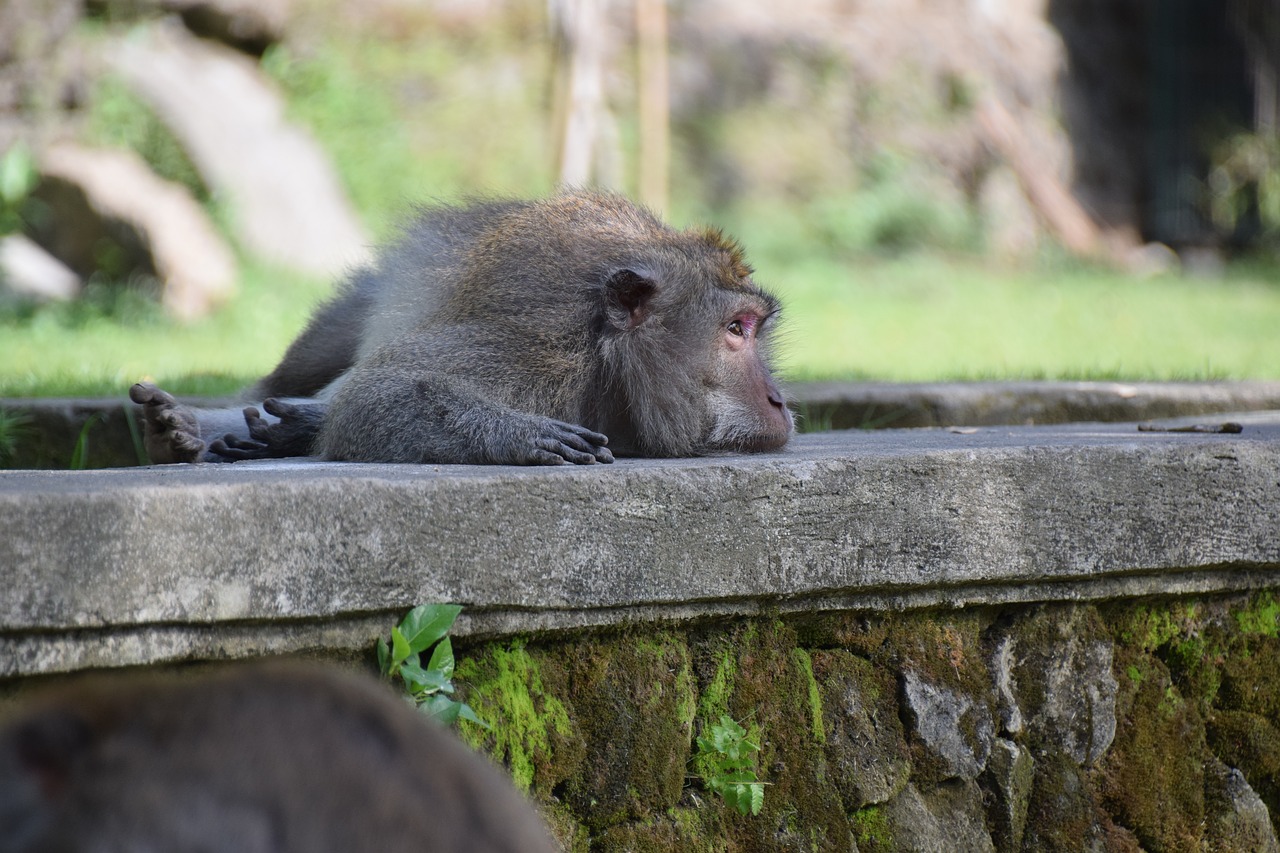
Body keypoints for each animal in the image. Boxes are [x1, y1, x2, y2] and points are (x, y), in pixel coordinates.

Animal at [129, 189, 788, 466]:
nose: (781, 399)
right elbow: (379, 395)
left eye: (754, 328)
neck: (608, 361)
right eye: (737, 329)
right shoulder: (537, 348)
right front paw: (517, 436)